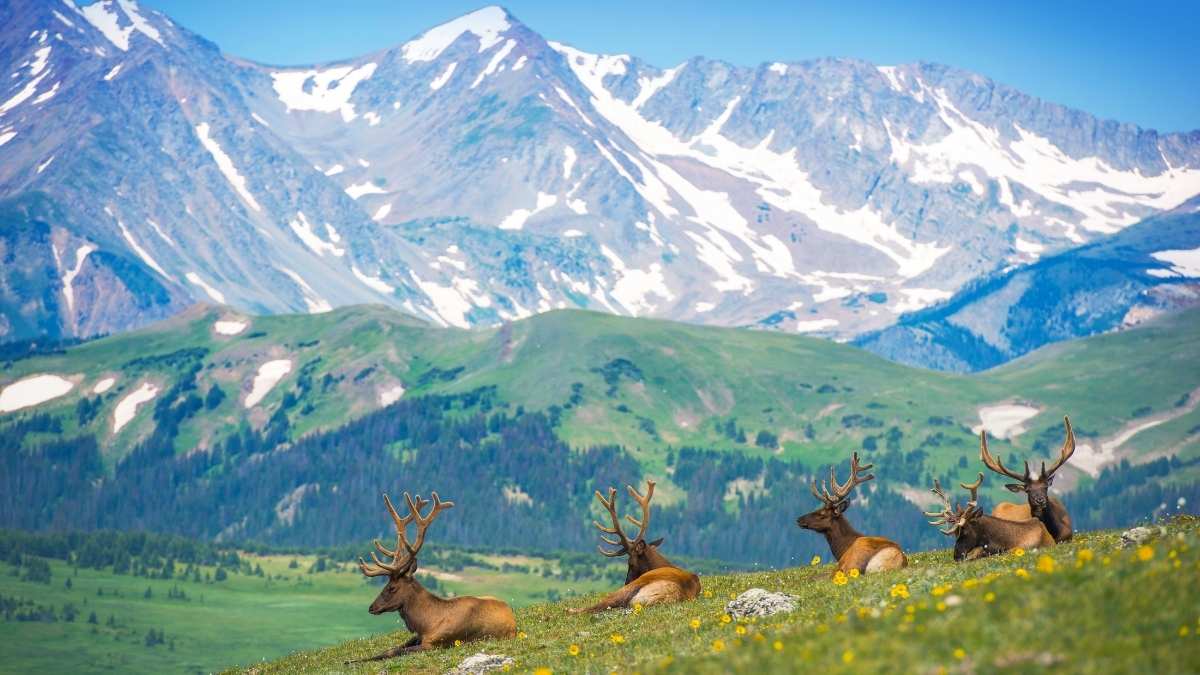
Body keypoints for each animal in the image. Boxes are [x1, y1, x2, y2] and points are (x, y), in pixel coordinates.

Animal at [347, 492, 516, 663]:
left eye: (392, 587)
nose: (371, 607)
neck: (427, 623)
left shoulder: (434, 644)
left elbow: (395, 652)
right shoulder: (417, 636)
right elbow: (389, 650)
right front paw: (351, 660)